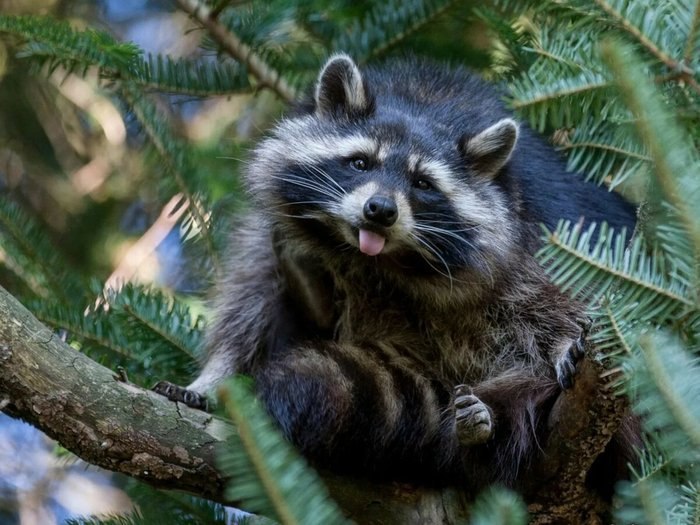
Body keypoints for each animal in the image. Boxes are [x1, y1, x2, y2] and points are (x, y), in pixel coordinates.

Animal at [154, 55, 637, 488]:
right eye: (360, 162)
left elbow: (555, 300)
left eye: (423, 183)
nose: (380, 210)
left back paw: (488, 422)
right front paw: (215, 376)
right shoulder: (275, 229)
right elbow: (250, 303)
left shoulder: (531, 235)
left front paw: (562, 343)